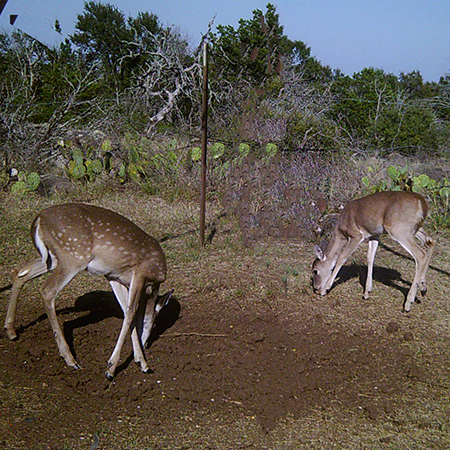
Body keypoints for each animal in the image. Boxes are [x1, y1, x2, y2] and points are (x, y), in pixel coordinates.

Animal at [4, 203, 173, 380]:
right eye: (155, 323)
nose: (146, 344)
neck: (154, 282)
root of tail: (38, 219)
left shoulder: (114, 276)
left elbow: (126, 311)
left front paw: (139, 361)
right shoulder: (140, 274)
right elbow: (131, 313)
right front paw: (114, 368)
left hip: (53, 258)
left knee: (22, 271)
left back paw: (11, 330)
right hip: (73, 255)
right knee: (47, 291)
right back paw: (70, 359)